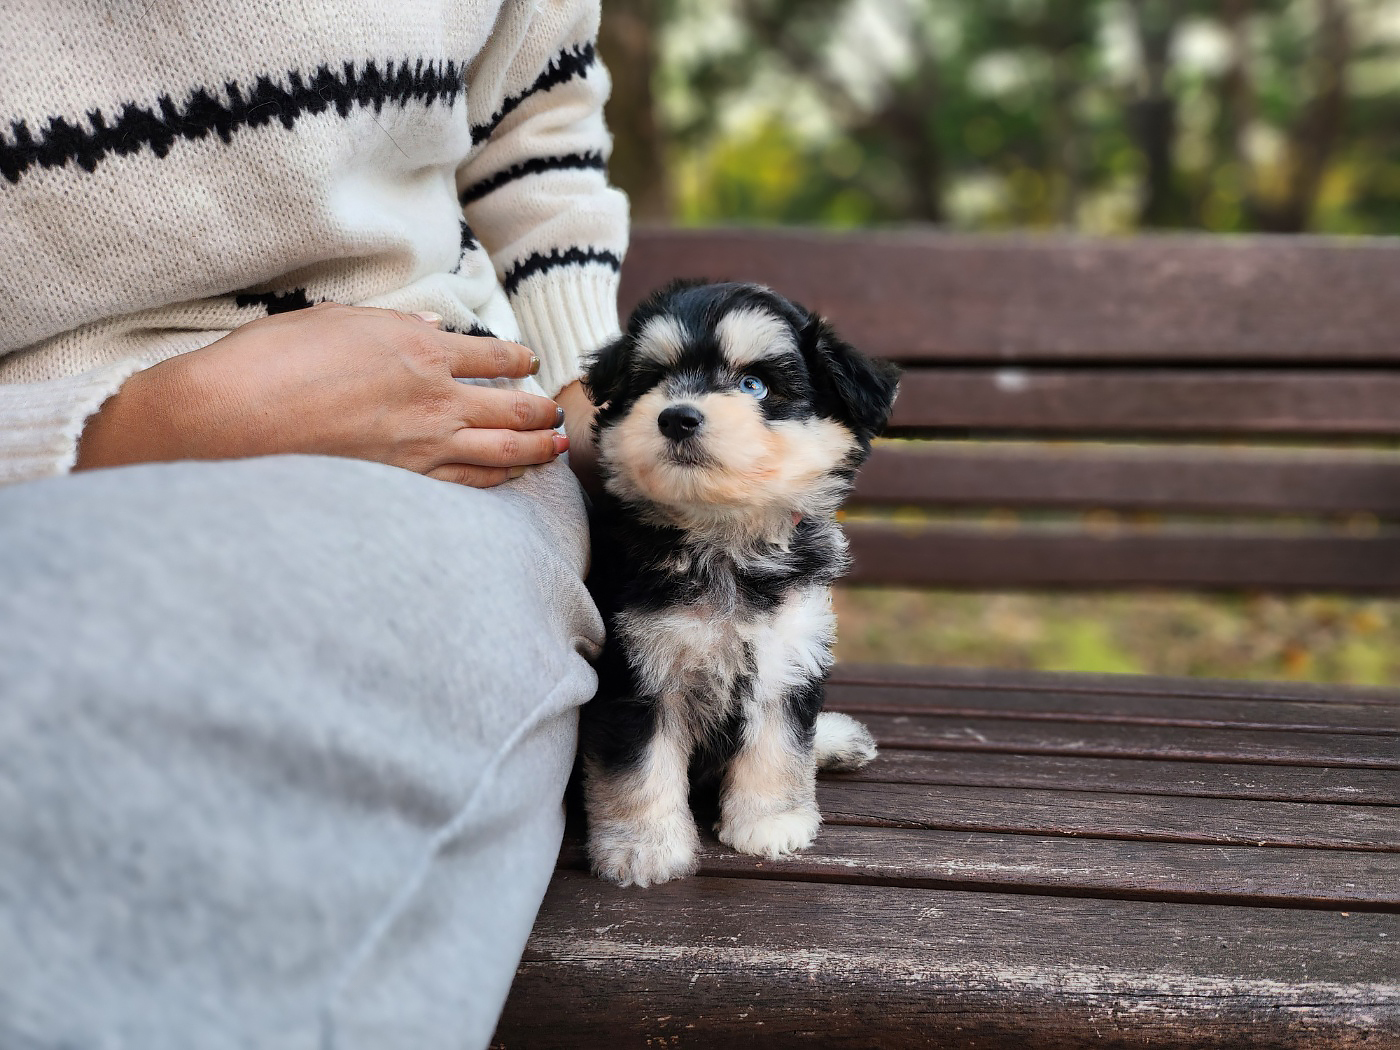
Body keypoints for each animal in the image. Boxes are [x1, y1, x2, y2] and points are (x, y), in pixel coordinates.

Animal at [579, 280, 900, 888]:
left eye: (755, 385)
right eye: (655, 379)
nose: (676, 417)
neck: (723, 540)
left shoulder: (789, 651)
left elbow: (781, 744)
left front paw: (771, 823)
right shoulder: (638, 671)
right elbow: (639, 767)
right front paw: (643, 847)